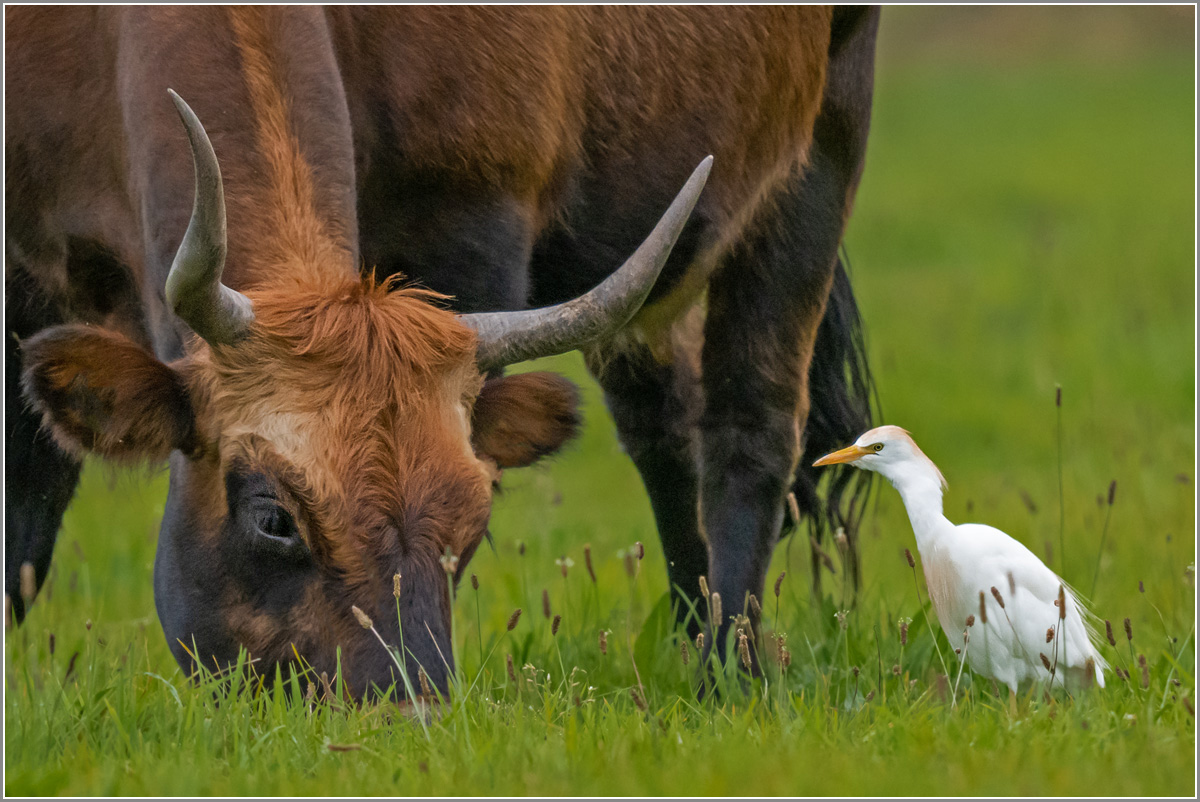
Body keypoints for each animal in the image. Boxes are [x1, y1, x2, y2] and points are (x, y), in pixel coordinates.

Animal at [4, 4, 878, 696]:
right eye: (273, 518)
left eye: (475, 514)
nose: (407, 710)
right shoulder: (24, 268)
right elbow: (26, 503)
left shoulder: (473, 220)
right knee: (663, 433)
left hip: (816, 157)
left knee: (750, 429)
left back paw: (727, 676)